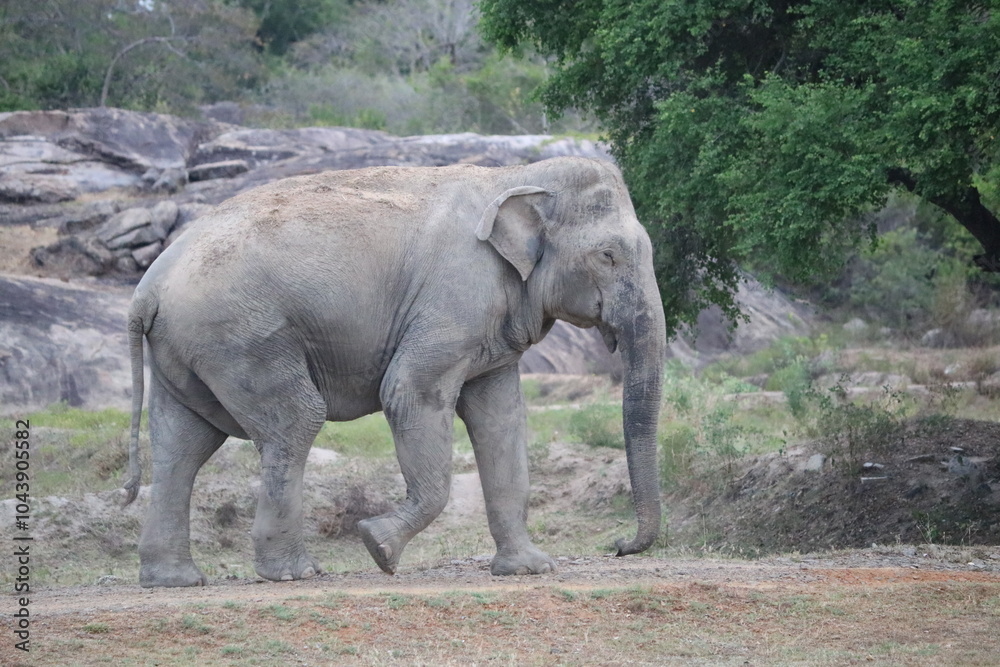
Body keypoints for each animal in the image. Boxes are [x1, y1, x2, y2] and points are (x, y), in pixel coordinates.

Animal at [121, 156, 667, 587]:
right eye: (608, 255)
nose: (618, 545)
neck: (514, 175)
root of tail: (147, 287)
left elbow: (502, 420)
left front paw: (530, 569)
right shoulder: (455, 298)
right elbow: (409, 393)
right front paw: (377, 546)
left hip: (187, 348)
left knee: (183, 445)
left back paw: (173, 580)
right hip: (241, 337)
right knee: (292, 423)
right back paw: (295, 573)